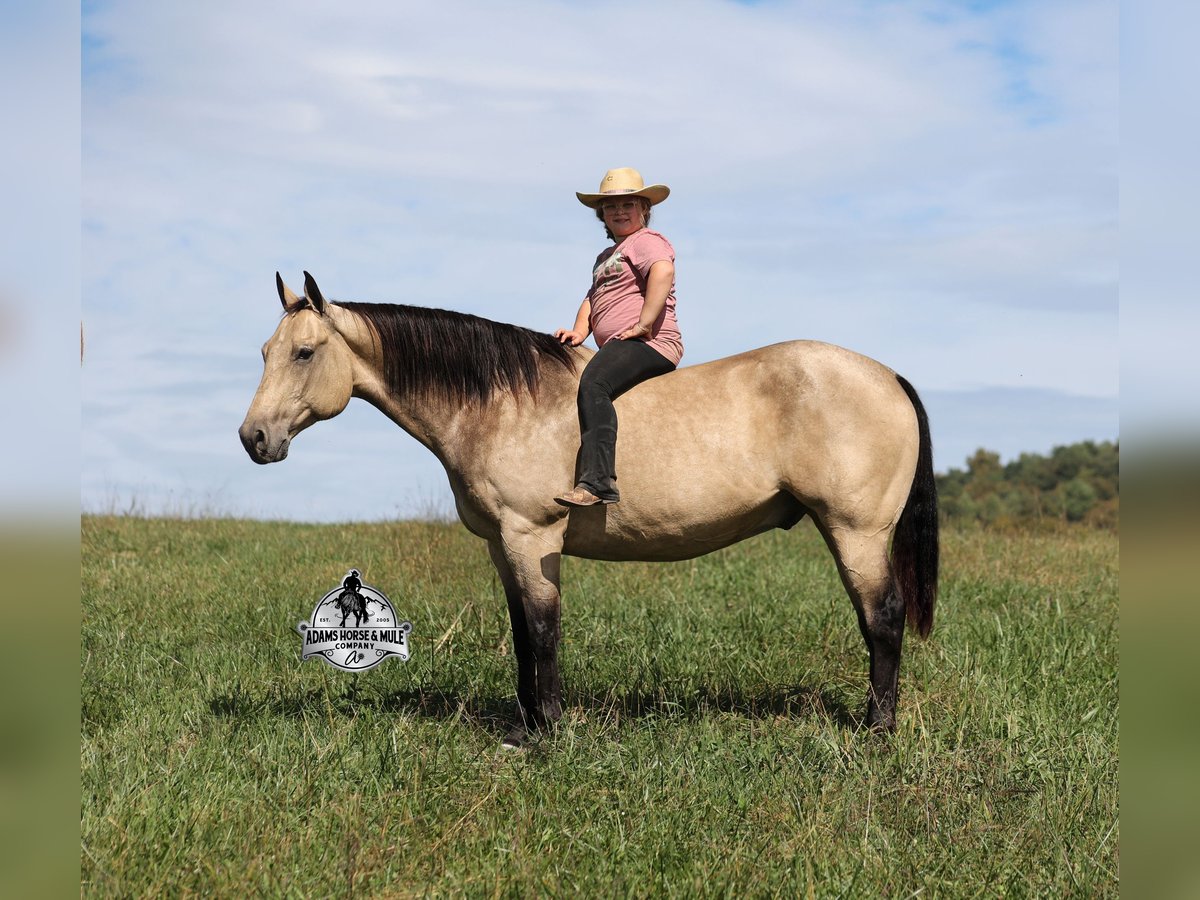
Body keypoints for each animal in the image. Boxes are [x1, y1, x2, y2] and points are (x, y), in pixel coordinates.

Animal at [240, 272, 938, 747]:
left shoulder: (533, 537)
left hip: (856, 533)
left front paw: (546, 730)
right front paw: (524, 724)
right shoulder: (502, 544)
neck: (501, 403)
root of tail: (889, 376)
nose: (253, 438)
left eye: (305, 352)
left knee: (883, 618)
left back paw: (877, 729)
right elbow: (522, 633)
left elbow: (544, 630)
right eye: (266, 352)